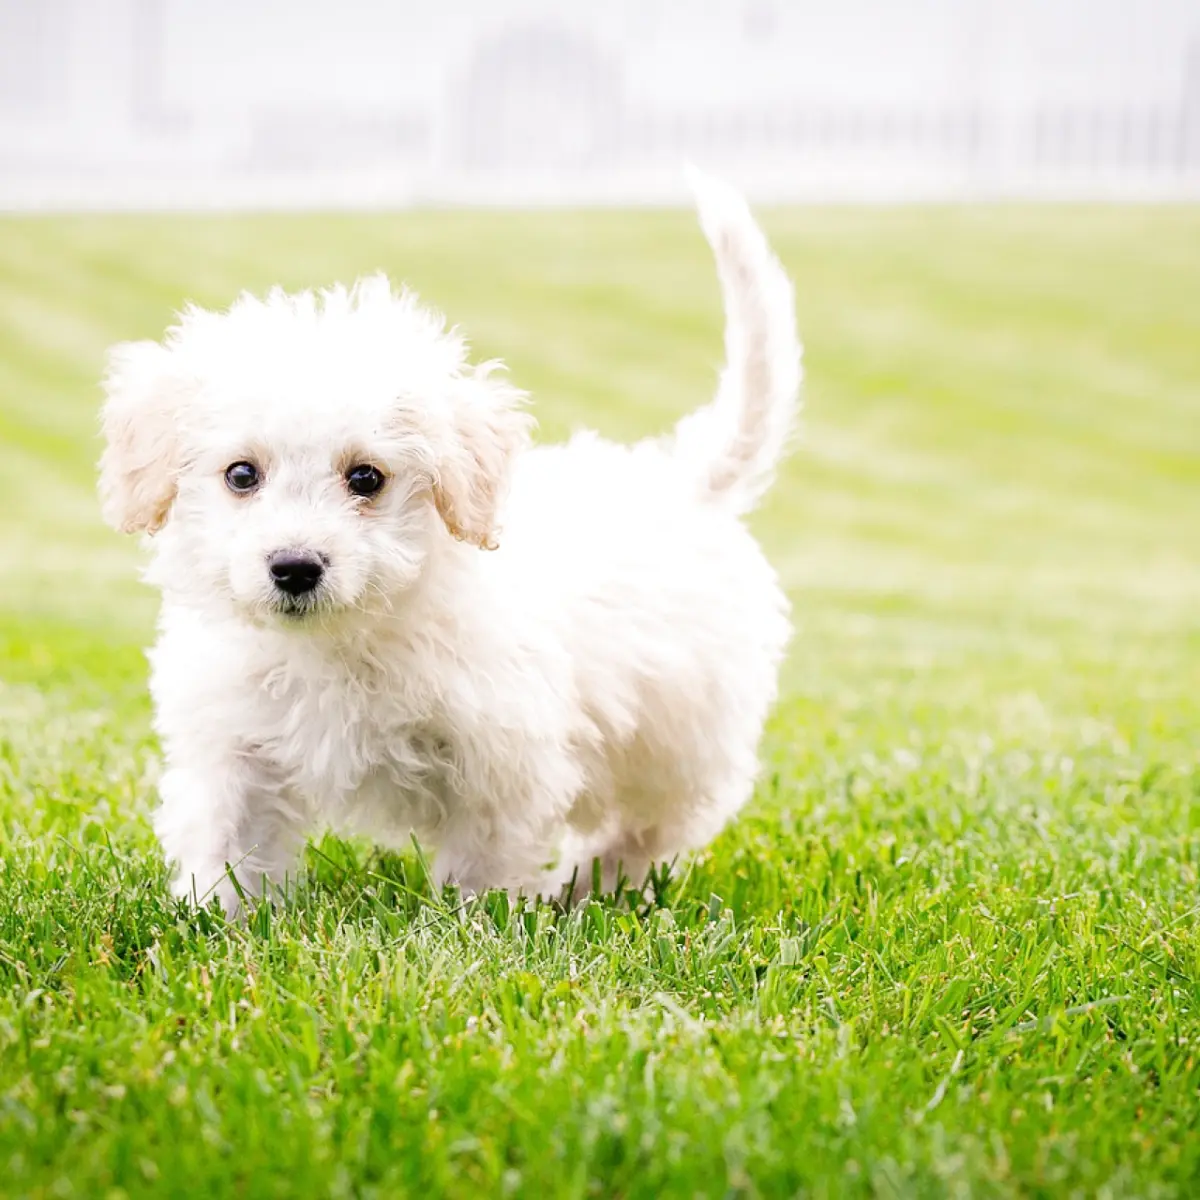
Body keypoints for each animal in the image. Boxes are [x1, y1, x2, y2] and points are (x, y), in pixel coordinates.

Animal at [98, 174, 801, 912]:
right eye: (241, 475)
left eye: (366, 478)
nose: (294, 567)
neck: (344, 642)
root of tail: (683, 479)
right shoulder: (235, 750)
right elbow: (230, 847)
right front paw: (218, 917)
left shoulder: (502, 763)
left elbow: (481, 868)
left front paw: (477, 923)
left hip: (679, 741)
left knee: (647, 829)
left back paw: (586, 888)